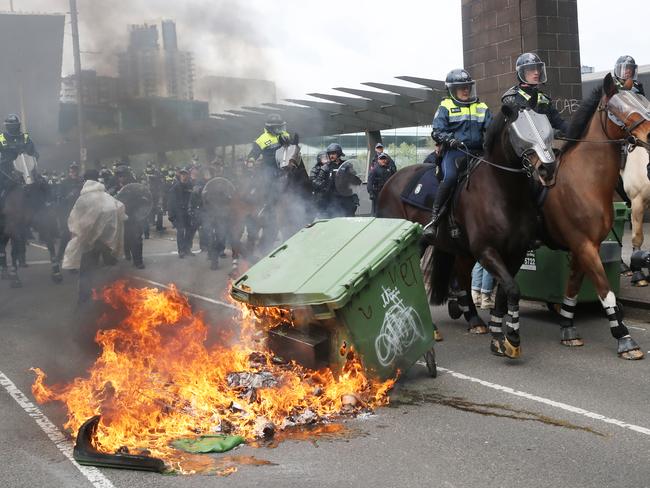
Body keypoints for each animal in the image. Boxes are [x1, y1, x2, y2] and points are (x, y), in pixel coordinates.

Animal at [374, 106, 552, 358]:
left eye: (545, 126)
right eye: (520, 132)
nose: (547, 168)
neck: (503, 192)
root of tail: (391, 181)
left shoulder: (515, 253)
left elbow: (506, 292)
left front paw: (504, 337)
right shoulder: (486, 251)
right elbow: (511, 288)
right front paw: (508, 339)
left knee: (462, 278)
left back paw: (474, 320)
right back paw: (433, 328)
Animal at [540, 74, 648, 360]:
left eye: (640, 100)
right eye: (618, 108)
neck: (585, 180)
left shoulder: (585, 245)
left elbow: (573, 286)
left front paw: (567, 326)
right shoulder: (584, 244)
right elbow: (604, 290)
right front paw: (624, 338)